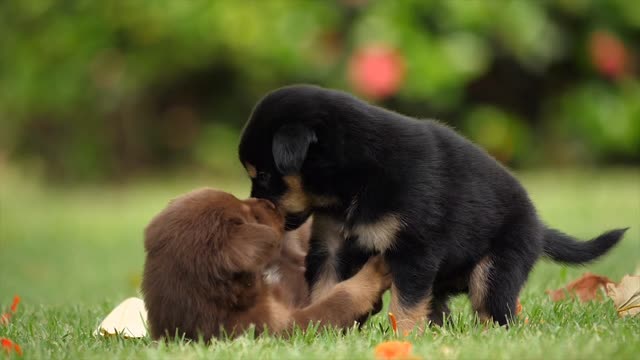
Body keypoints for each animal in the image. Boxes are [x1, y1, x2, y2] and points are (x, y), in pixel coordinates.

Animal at [238, 84, 628, 332]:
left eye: (266, 176)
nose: (256, 207)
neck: (353, 180)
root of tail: (538, 226)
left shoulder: (414, 250)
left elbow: (405, 305)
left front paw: (405, 339)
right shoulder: (331, 247)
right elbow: (327, 290)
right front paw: (327, 328)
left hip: (496, 269)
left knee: (495, 313)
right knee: (441, 309)